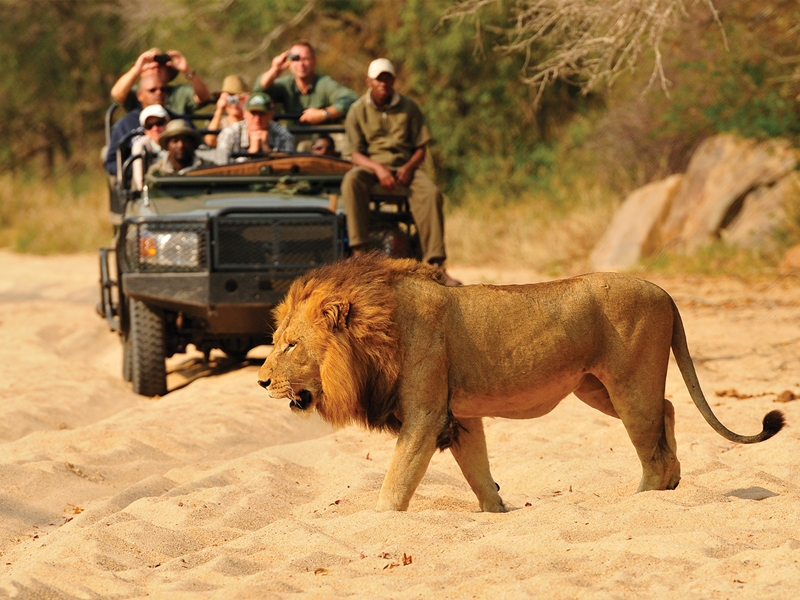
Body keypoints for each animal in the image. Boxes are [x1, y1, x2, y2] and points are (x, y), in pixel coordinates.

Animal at [260, 253, 784, 510]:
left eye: (291, 345)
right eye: (277, 339)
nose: (262, 382)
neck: (377, 329)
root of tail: (666, 292)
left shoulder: (425, 416)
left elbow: (394, 489)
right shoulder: (459, 416)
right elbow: (478, 474)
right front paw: (496, 512)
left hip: (627, 383)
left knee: (651, 444)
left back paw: (643, 500)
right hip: (595, 387)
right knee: (668, 412)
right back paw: (673, 484)